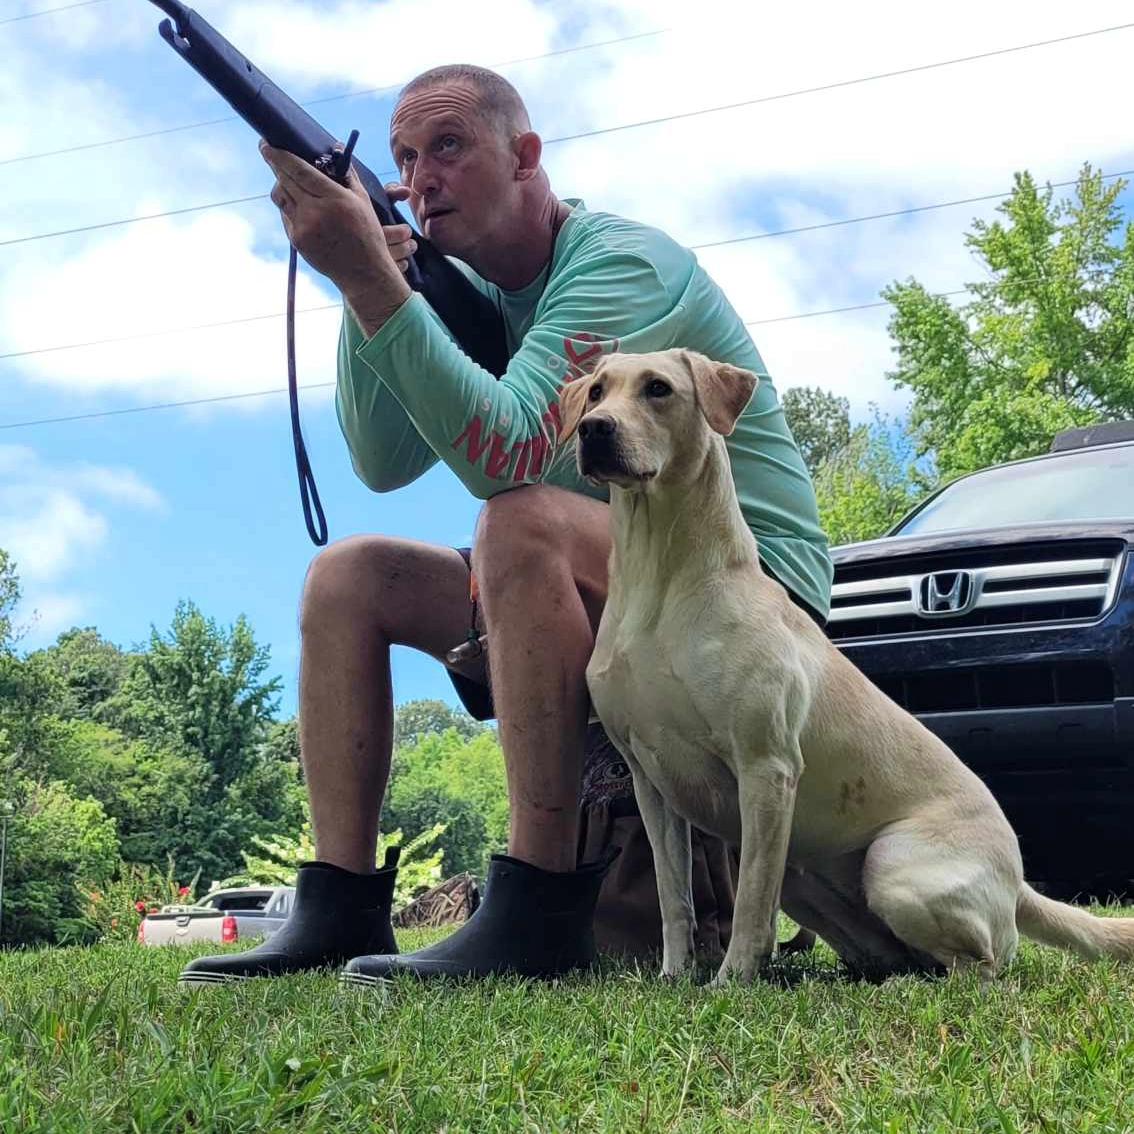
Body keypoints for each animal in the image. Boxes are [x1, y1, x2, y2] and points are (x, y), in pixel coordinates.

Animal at [558, 348, 1134, 983]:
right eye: (596, 392)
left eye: (658, 389)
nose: (594, 430)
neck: (658, 581)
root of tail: (1019, 878)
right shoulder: (650, 783)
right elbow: (673, 896)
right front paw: (675, 976)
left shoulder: (766, 768)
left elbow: (751, 900)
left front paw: (732, 981)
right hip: (810, 883)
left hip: (893, 865)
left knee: (982, 965)